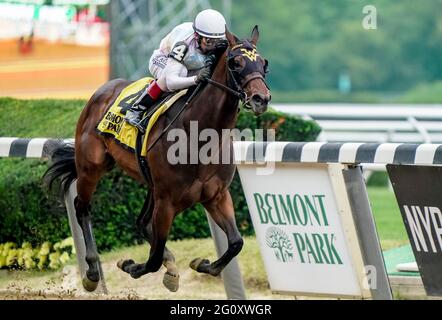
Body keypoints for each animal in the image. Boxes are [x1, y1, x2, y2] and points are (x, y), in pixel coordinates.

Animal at [45, 26, 272, 292]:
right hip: (91, 166)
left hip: (150, 183)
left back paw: (170, 263)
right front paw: (131, 266)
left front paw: (201, 264)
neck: (200, 135)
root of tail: (103, 90)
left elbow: (236, 242)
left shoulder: (216, 196)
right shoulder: (167, 200)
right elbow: (152, 259)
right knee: (82, 207)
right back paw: (92, 272)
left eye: (263, 63)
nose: (261, 99)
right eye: (236, 63)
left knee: (141, 222)